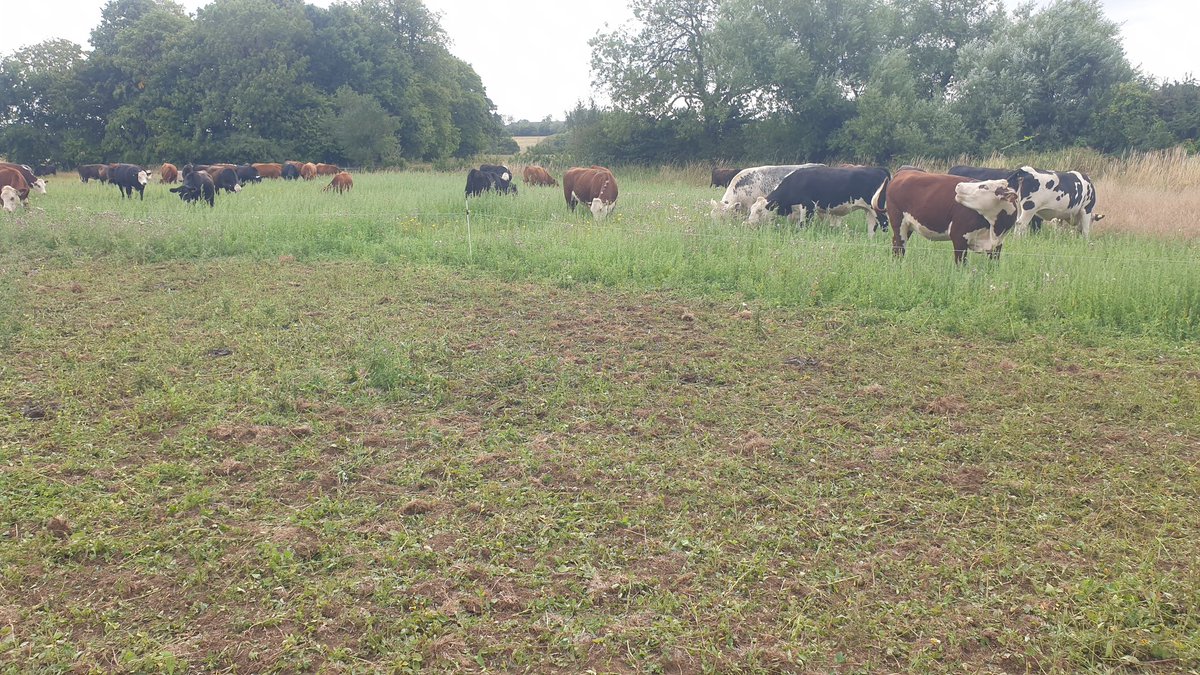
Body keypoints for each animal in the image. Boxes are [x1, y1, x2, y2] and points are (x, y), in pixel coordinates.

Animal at [748, 165, 891, 235]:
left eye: (759, 211)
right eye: (751, 210)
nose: (748, 224)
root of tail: (878, 169)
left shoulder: (808, 206)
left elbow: (803, 226)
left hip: (876, 208)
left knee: (884, 224)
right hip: (869, 210)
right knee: (872, 226)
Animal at [878, 171, 1021, 263]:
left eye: (984, 186)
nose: (959, 185)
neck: (994, 229)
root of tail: (902, 172)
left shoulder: (997, 246)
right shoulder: (959, 237)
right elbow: (960, 264)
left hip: (908, 227)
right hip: (899, 223)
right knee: (899, 247)